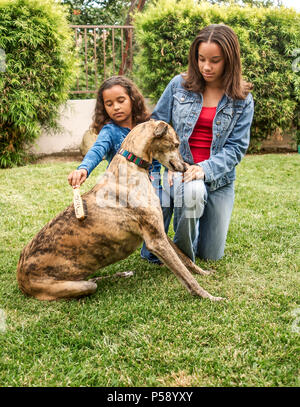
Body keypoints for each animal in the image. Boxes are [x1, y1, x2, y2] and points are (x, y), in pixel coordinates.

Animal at [16, 119, 223, 302]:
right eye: (176, 144)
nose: (187, 168)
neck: (131, 165)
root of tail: (20, 277)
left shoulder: (159, 233)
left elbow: (185, 259)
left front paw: (204, 272)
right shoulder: (155, 240)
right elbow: (186, 276)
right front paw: (209, 297)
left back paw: (124, 273)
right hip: (74, 286)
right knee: (91, 283)